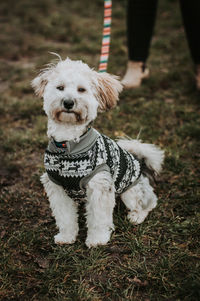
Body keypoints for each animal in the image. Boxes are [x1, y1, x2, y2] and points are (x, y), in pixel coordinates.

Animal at [32, 57, 164, 247]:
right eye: (60, 87)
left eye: (81, 89)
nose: (68, 102)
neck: (68, 144)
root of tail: (141, 163)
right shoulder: (56, 187)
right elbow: (65, 217)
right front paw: (66, 236)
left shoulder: (99, 186)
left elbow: (99, 218)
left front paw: (97, 240)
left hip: (130, 192)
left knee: (148, 201)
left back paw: (136, 215)